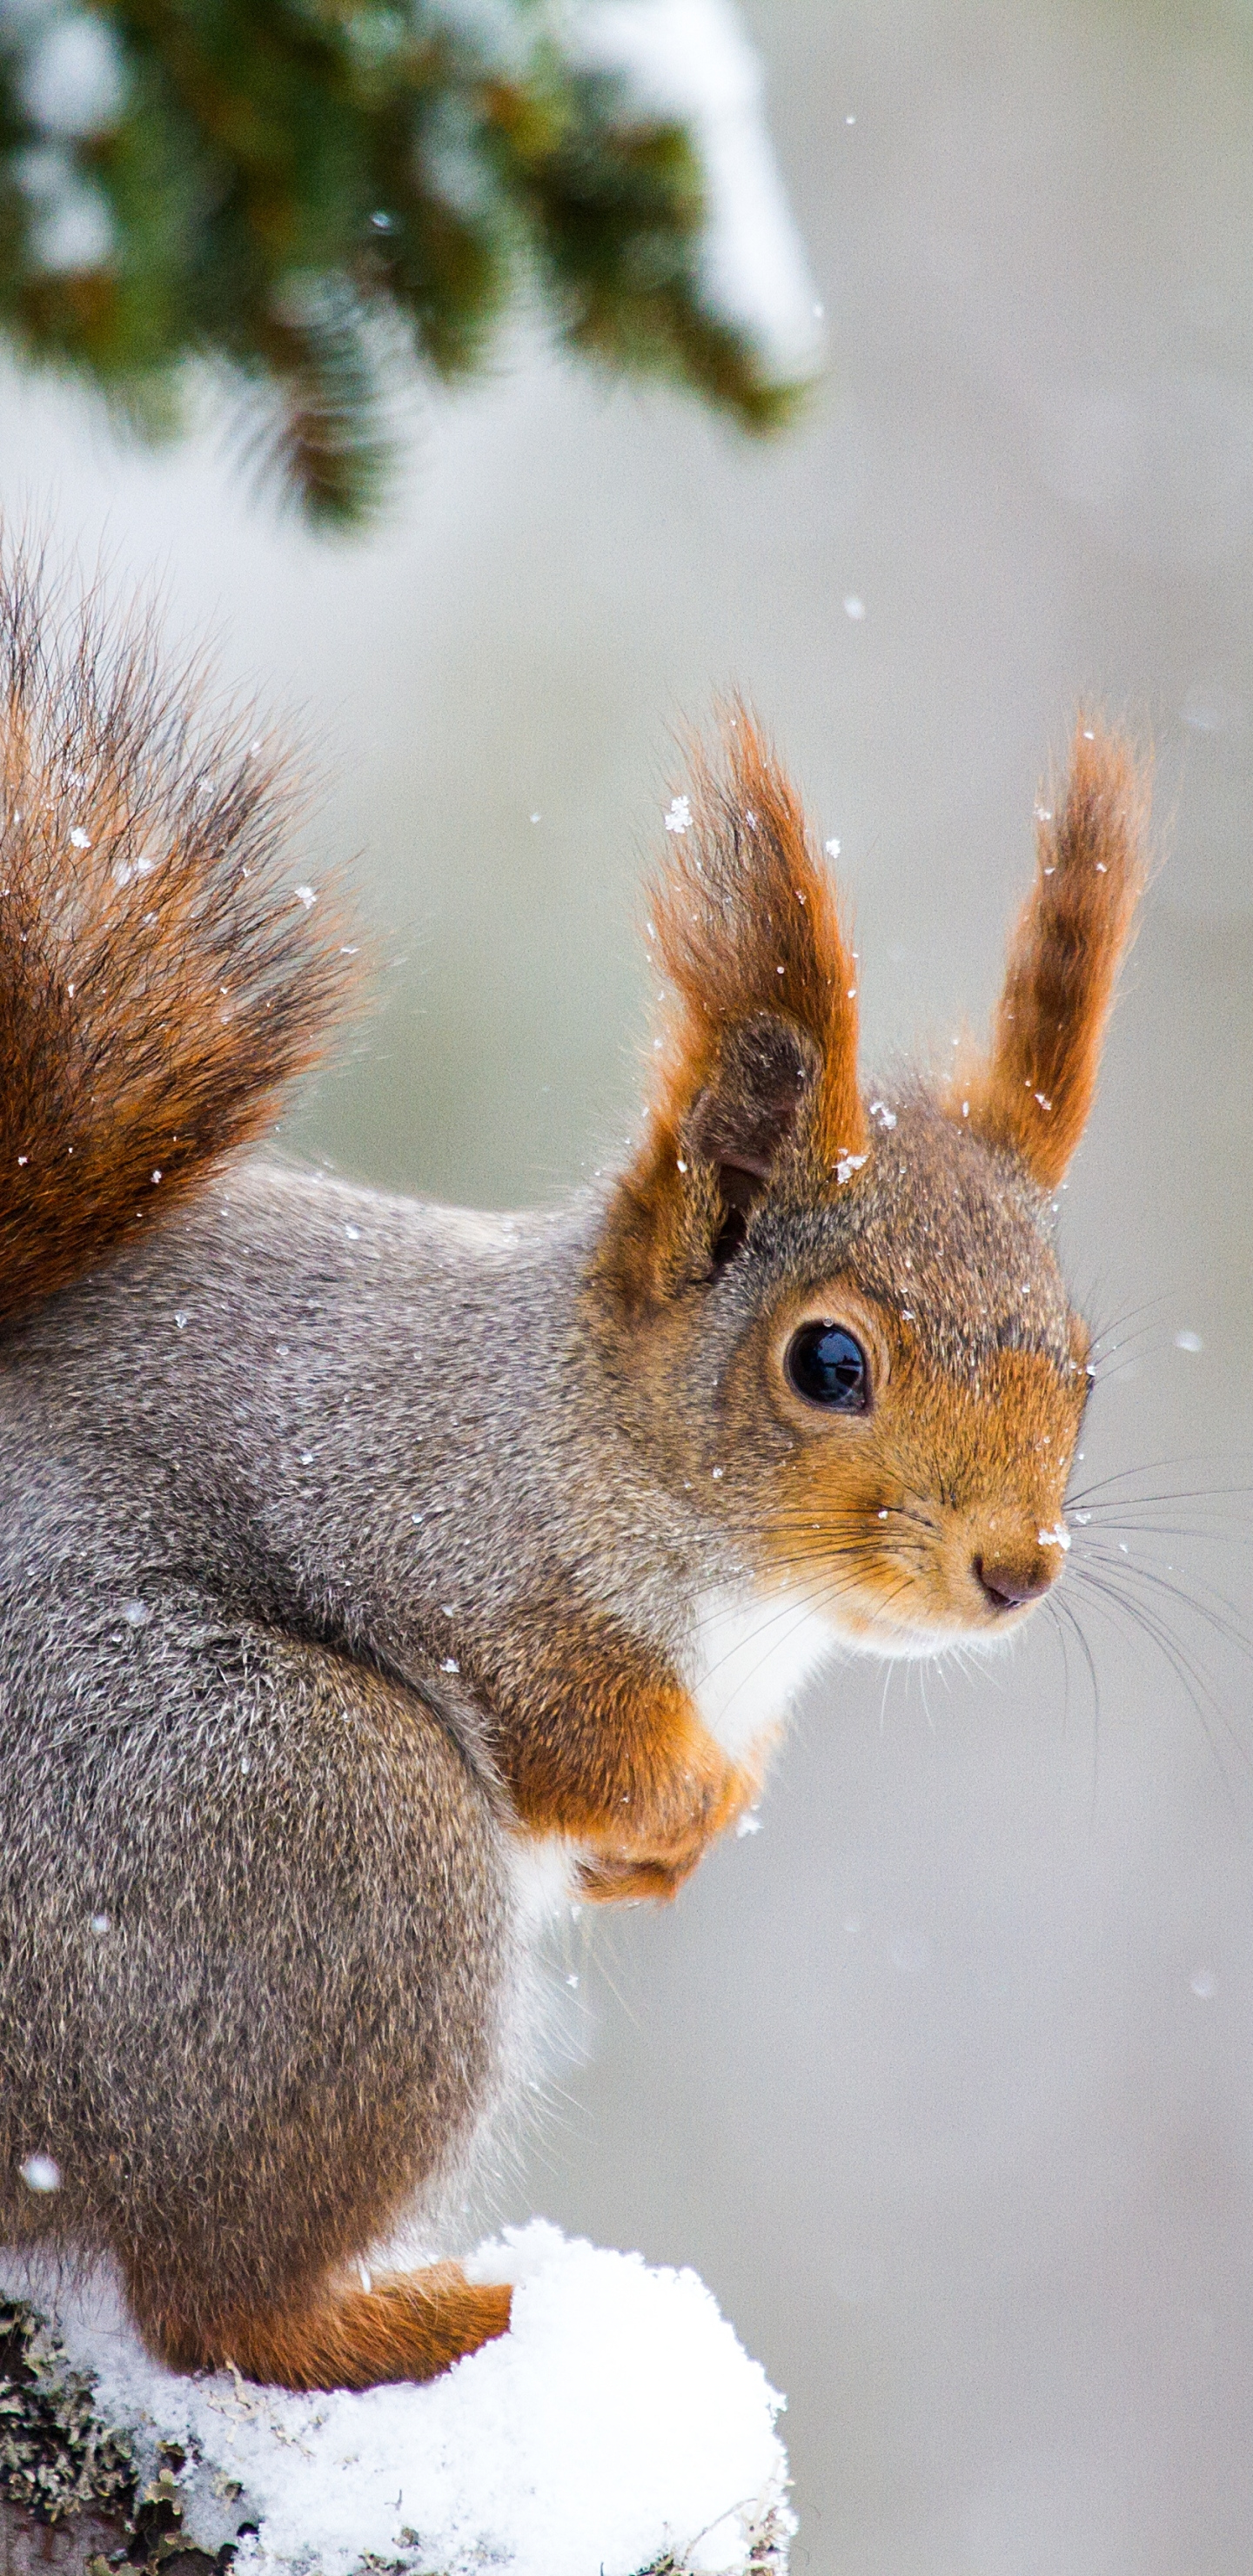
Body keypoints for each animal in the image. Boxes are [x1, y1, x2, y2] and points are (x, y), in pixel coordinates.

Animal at [0, 551, 1148, 2396]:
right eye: (830, 1364)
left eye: (1085, 1363)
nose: (1015, 1568)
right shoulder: (447, 1526)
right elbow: (566, 1722)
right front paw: (673, 1804)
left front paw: (684, 1842)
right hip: (306, 1829)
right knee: (206, 2306)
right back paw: (420, 2316)